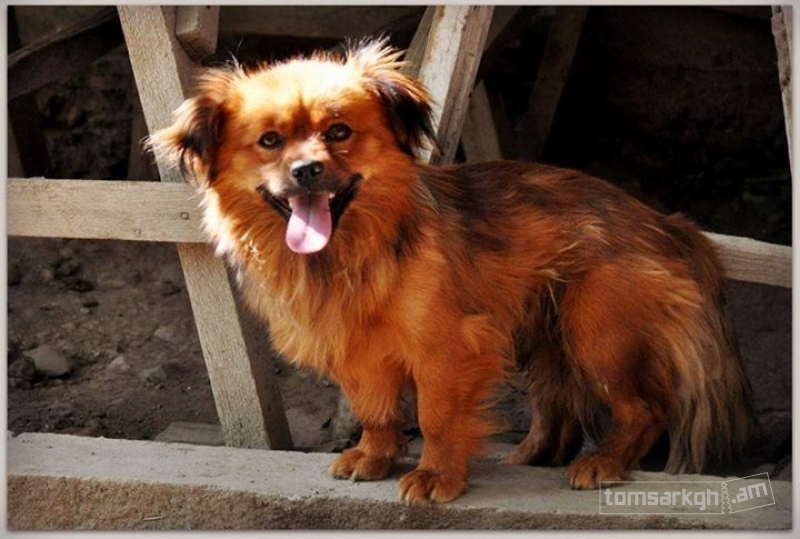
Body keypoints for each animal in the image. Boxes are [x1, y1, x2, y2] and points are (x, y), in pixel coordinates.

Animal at [150, 39, 753, 504]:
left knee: (644, 410)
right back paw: (529, 458)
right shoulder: (358, 352)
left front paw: (437, 474)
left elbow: (436, 415)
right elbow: (374, 410)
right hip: (546, 335)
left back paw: (604, 462)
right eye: (270, 142)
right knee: (558, 415)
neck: (348, 251)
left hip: (596, 330)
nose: (306, 169)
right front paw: (376, 455)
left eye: (339, 132)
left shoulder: (445, 348)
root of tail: (665, 221)